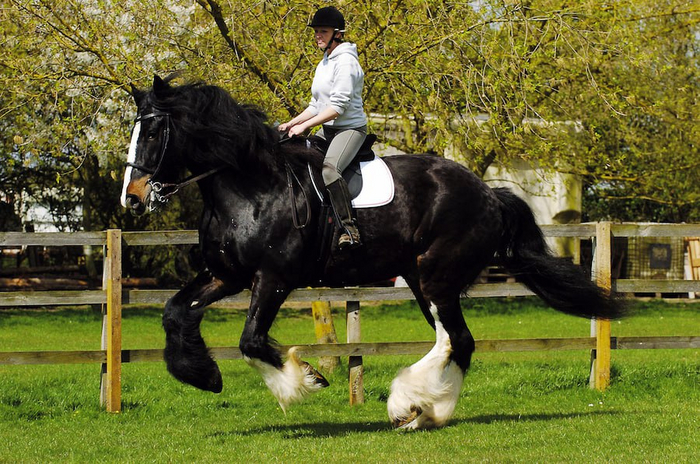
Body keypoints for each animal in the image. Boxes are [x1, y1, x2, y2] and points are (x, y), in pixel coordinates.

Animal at [121, 75, 624, 428]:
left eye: (153, 131)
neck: (250, 185)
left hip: (436, 275)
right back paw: (421, 411)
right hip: (421, 278)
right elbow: (175, 313)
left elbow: (251, 341)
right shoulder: (226, 275)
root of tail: (488, 193)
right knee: (451, 340)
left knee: (457, 340)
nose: (132, 197)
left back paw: (412, 406)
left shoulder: (273, 279)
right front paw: (204, 375)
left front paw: (304, 381)